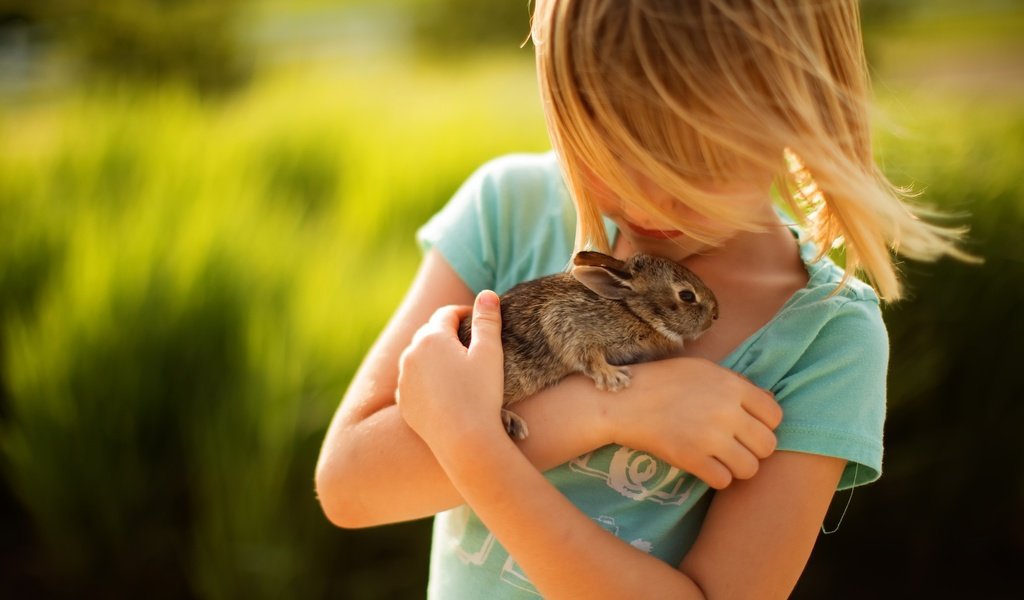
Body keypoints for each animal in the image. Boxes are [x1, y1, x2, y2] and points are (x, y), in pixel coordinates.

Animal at [458, 248, 720, 438]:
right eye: (686, 295)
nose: (716, 315)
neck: (633, 311)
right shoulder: (568, 320)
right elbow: (587, 354)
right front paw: (613, 377)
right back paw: (513, 423)